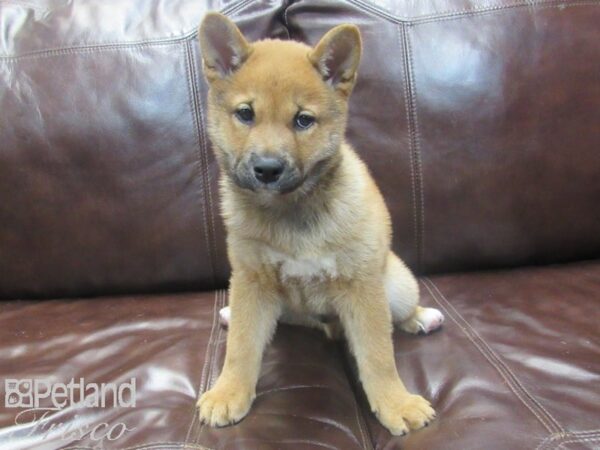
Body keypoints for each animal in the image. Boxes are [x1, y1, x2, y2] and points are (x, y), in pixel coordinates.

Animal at [199, 12, 442, 436]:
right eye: (245, 114)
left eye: (303, 120)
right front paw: (228, 392)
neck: (290, 211)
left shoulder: (361, 287)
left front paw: (395, 403)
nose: (267, 169)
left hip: (395, 285)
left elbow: (379, 356)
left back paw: (422, 318)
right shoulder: (251, 279)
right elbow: (241, 348)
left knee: (400, 314)